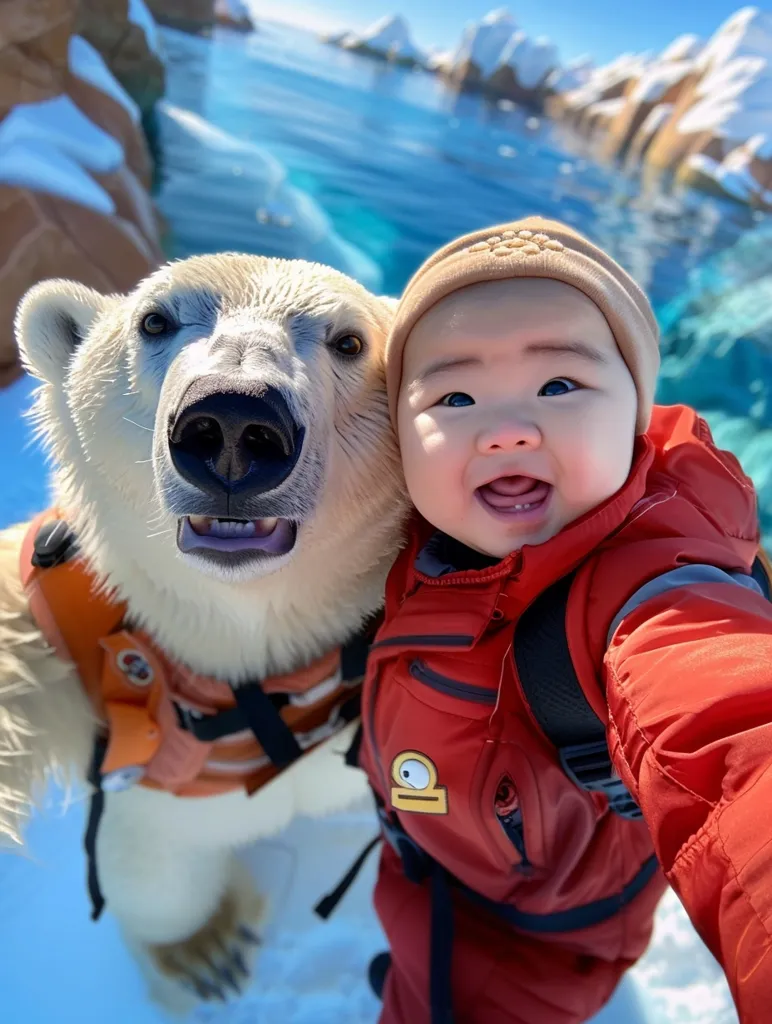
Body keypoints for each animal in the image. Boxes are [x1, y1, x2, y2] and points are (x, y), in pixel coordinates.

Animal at [0, 252, 407, 1011]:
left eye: (349, 341)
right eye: (155, 320)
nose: (234, 422)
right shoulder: (48, 641)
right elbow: (152, 865)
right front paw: (206, 951)